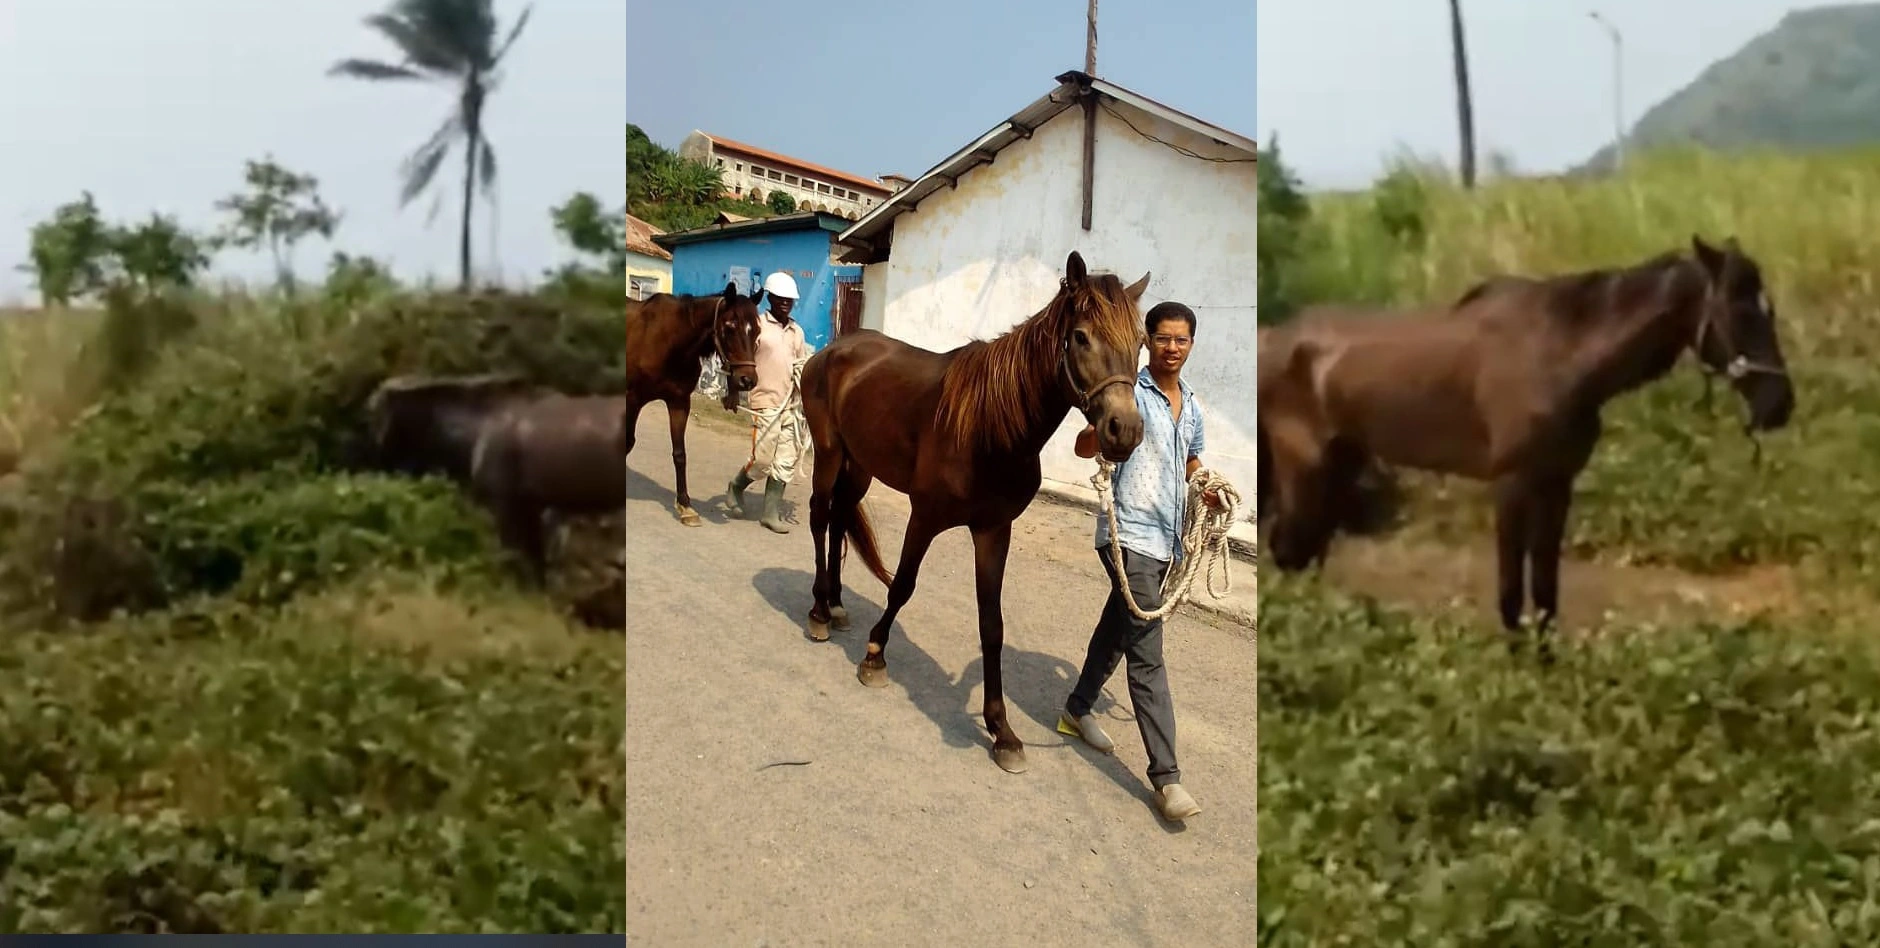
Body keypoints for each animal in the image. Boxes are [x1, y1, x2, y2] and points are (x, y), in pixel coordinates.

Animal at [620, 285, 759, 530]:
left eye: (757, 331)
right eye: (730, 326)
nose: (747, 380)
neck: (670, 342)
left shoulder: (679, 402)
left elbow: (680, 454)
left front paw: (685, 506)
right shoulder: (633, 399)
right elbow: (628, 442)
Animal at [800, 253, 1150, 778]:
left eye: (1142, 343)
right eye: (1082, 336)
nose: (1123, 430)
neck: (991, 427)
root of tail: (835, 349)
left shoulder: (993, 530)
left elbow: (993, 625)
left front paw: (1002, 730)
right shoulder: (925, 516)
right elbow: (902, 586)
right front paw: (875, 656)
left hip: (859, 465)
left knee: (842, 516)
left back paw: (838, 605)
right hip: (828, 453)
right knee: (821, 517)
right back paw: (820, 611)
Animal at [1255, 236, 1797, 650]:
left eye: (1769, 310)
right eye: (1740, 311)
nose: (1780, 406)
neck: (1559, 352)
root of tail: (1274, 339)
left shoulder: (1556, 485)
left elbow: (1547, 590)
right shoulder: (1513, 484)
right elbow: (1513, 591)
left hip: (1340, 466)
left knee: (1306, 552)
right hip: (1305, 466)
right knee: (1288, 550)